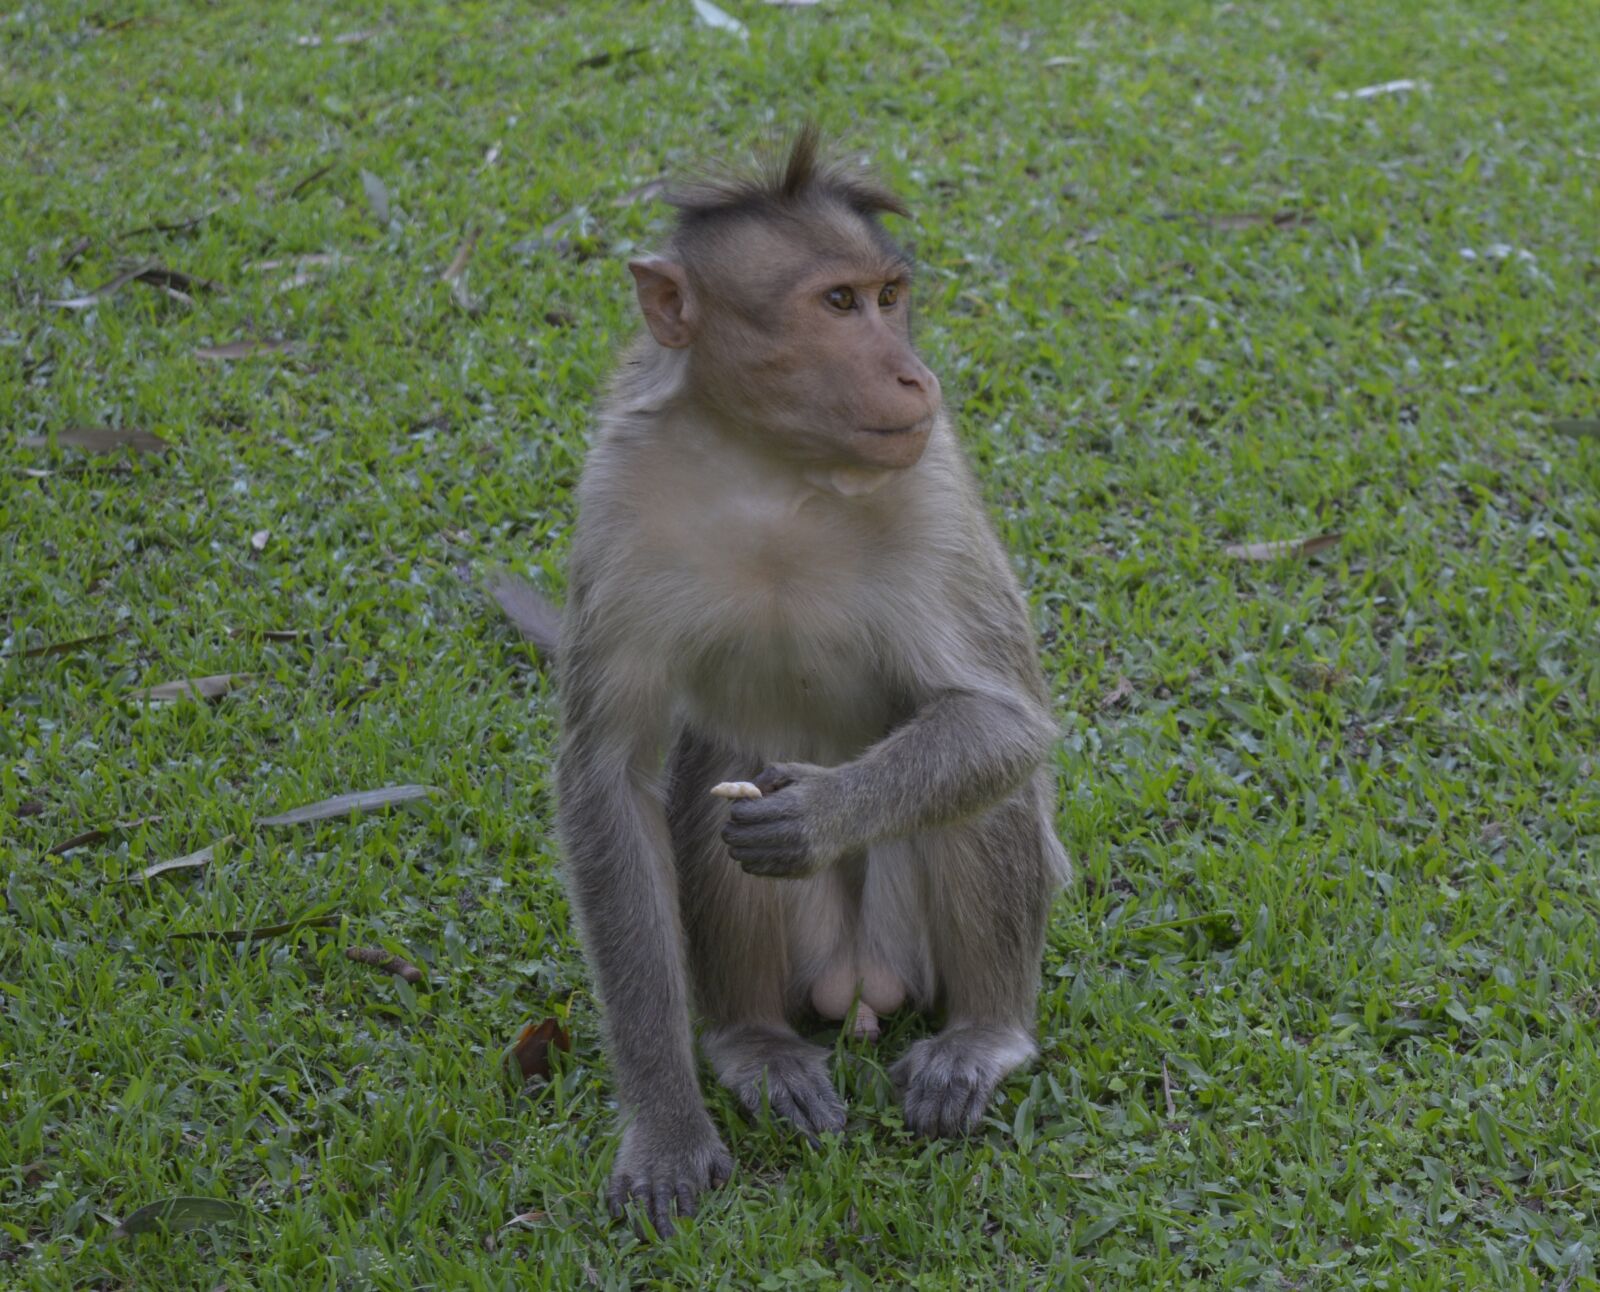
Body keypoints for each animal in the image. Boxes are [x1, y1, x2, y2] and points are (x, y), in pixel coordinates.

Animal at [518, 127, 1071, 1237]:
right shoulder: (616, 494)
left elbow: (1002, 724)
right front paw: (667, 1123)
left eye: (891, 294)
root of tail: (860, 985)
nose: (912, 377)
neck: (770, 465)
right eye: (837, 304)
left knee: (978, 791)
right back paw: (756, 1046)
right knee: (708, 773)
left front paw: (822, 810)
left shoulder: (932, 480)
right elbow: (611, 778)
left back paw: (983, 1035)